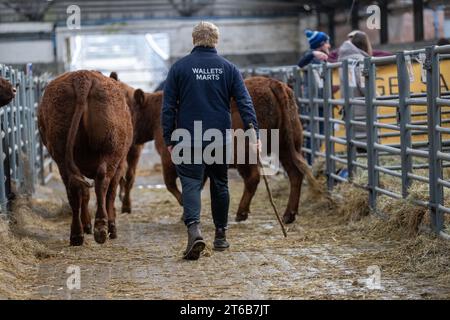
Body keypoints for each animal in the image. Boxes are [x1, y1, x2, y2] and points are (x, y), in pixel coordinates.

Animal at [37, 70, 133, 245]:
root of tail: (83, 78)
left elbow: (85, 194)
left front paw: (87, 224)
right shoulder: (120, 164)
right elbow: (110, 194)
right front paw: (111, 225)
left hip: (61, 155)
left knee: (73, 187)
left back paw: (77, 234)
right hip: (111, 150)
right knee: (103, 183)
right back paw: (101, 227)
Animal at [114, 75, 320, 225]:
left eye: (131, 111)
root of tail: (273, 83)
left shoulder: (168, 158)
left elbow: (171, 184)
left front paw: (184, 209)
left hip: (244, 153)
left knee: (253, 178)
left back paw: (241, 212)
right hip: (288, 146)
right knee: (295, 174)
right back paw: (288, 214)